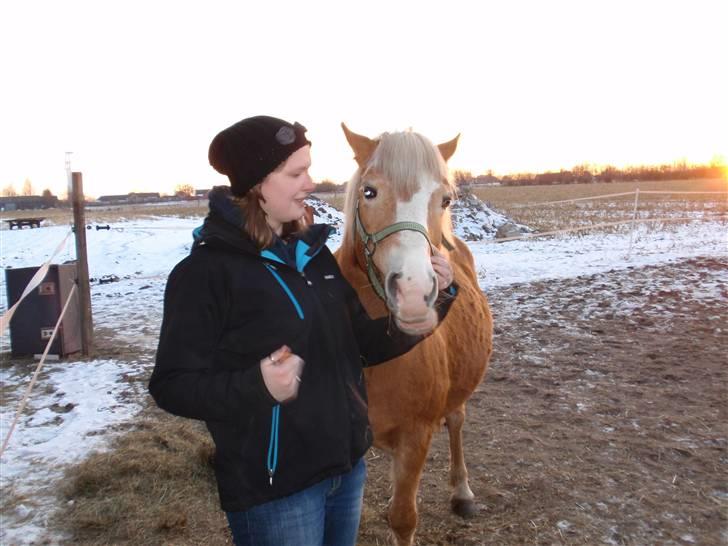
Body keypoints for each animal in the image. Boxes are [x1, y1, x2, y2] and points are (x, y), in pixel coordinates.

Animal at [336, 124, 494, 544]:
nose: (413, 293)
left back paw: (462, 492)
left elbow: (403, 518)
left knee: (456, 421)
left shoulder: (416, 436)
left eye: (446, 199)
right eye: (369, 191)